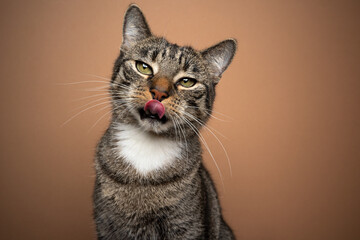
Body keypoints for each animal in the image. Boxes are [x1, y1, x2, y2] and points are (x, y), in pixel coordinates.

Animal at [93, 4, 236, 240]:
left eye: (187, 82)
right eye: (143, 67)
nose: (159, 93)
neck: (146, 149)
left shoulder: (186, 227)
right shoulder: (107, 227)